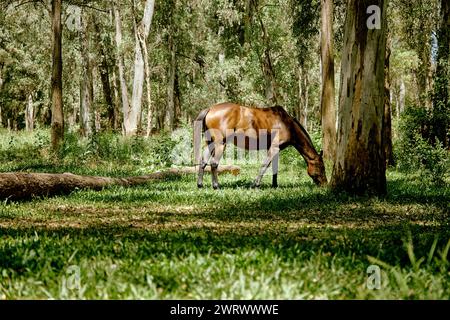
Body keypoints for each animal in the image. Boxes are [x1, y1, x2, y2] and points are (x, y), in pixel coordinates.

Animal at [193, 102, 326, 188]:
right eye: (322, 167)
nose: (324, 184)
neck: (287, 124)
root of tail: (210, 109)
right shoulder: (274, 148)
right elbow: (265, 165)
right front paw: (255, 184)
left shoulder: (275, 149)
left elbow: (274, 167)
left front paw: (274, 185)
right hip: (220, 144)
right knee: (214, 163)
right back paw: (216, 186)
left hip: (210, 143)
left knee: (203, 162)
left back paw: (200, 184)